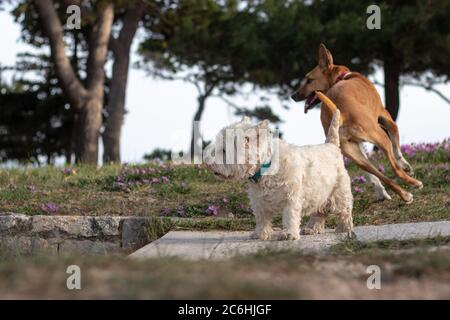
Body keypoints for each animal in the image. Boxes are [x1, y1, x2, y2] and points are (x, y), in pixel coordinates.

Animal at [202, 109, 354, 240]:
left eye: (224, 150)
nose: (206, 160)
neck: (265, 167)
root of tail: (331, 145)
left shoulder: (291, 197)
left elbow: (290, 216)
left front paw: (289, 234)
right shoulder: (258, 201)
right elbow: (261, 218)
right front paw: (260, 234)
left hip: (339, 192)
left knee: (344, 211)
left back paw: (344, 229)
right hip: (319, 194)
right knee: (319, 212)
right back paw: (311, 228)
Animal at [292, 43, 422, 202]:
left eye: (309, 80)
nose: (293, 96)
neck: (341, 78)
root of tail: (339, 113)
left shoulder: (358, 145)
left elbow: (372, 177)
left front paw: (381, 192)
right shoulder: (387, 119)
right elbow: (397, 148)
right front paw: (406, 166)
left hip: (355, 156)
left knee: (379, 175)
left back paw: (404, 195)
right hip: (380, 136)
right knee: (394, 168)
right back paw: (414, 184)